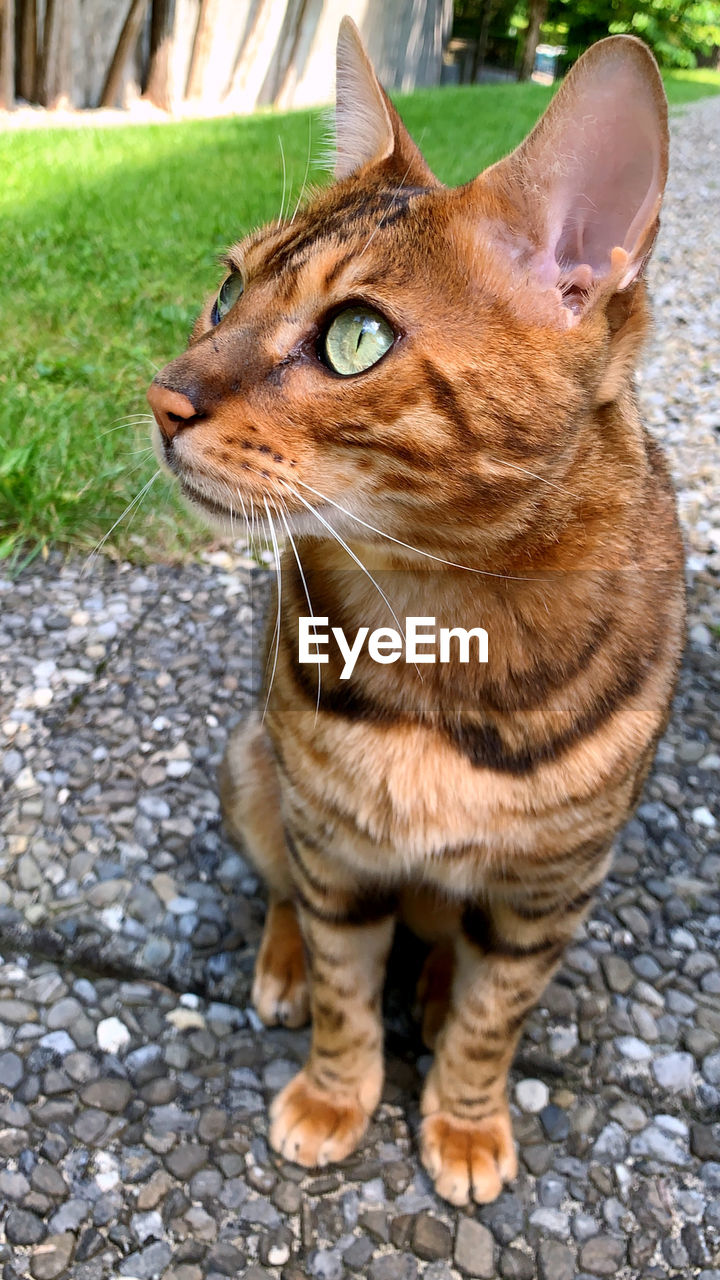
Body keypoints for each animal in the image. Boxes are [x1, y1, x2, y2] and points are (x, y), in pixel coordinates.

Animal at [147, 15, 681, 1203]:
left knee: (447, 947)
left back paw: (434, 990)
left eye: (356, 336)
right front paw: (332, 1095)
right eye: (227, 290)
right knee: (285, 894)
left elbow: (495, 1021)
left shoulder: (553, 888)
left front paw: (468, 1121)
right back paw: (286, 966)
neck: (439, 611)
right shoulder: (336, 846)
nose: (160, 396)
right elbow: (348, 990)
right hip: (254, 768)